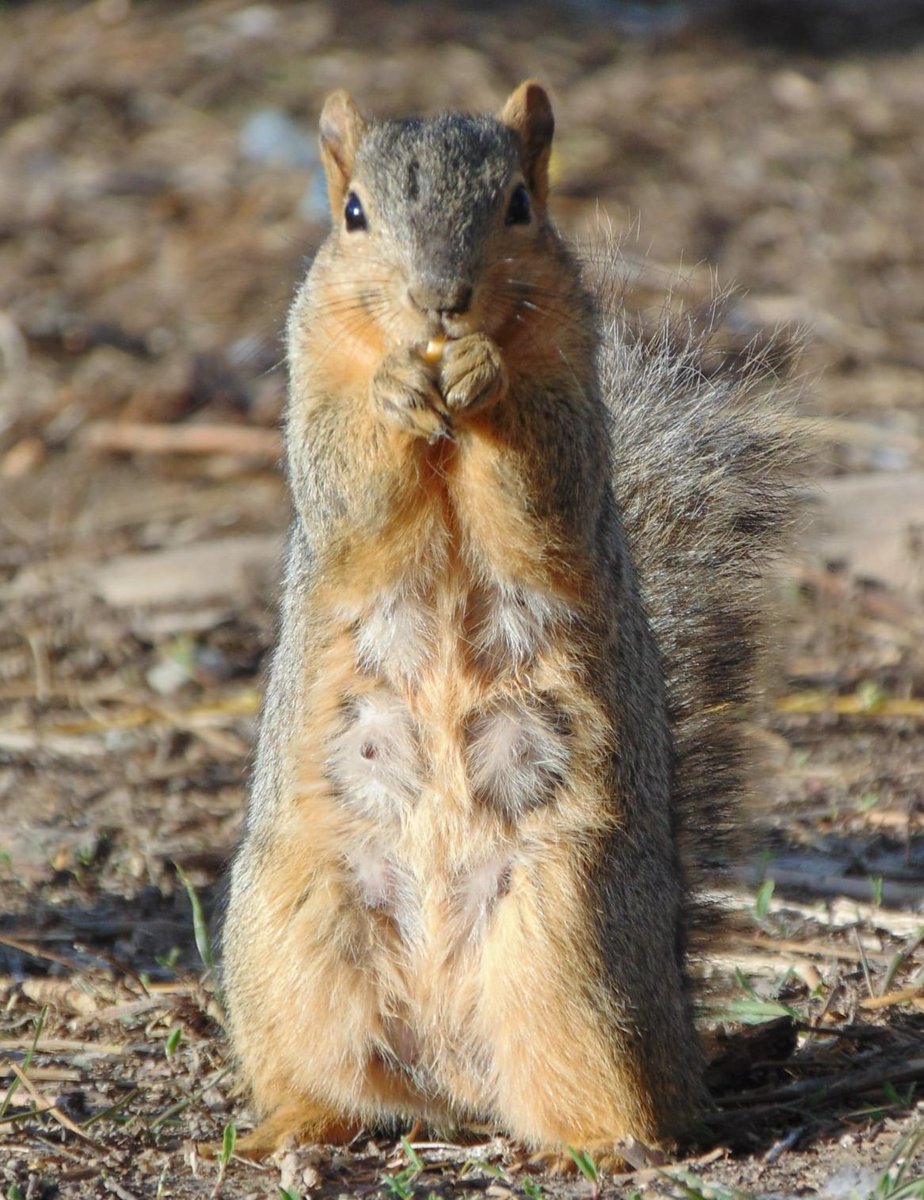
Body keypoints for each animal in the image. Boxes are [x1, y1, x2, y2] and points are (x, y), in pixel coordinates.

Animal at [220, 81, 800, 1169]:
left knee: (609, 1090)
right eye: (352, 213)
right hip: (294, 931)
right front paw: (395, 390)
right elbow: (349, 482)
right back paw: (292, 1127)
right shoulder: (311, 377)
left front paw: (483, 369)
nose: (441, 299)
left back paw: (607, 1145)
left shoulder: (573, 397)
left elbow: (538, 487)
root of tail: (450, 1072)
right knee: (338, 1080)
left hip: (569, 937)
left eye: (520, 206)